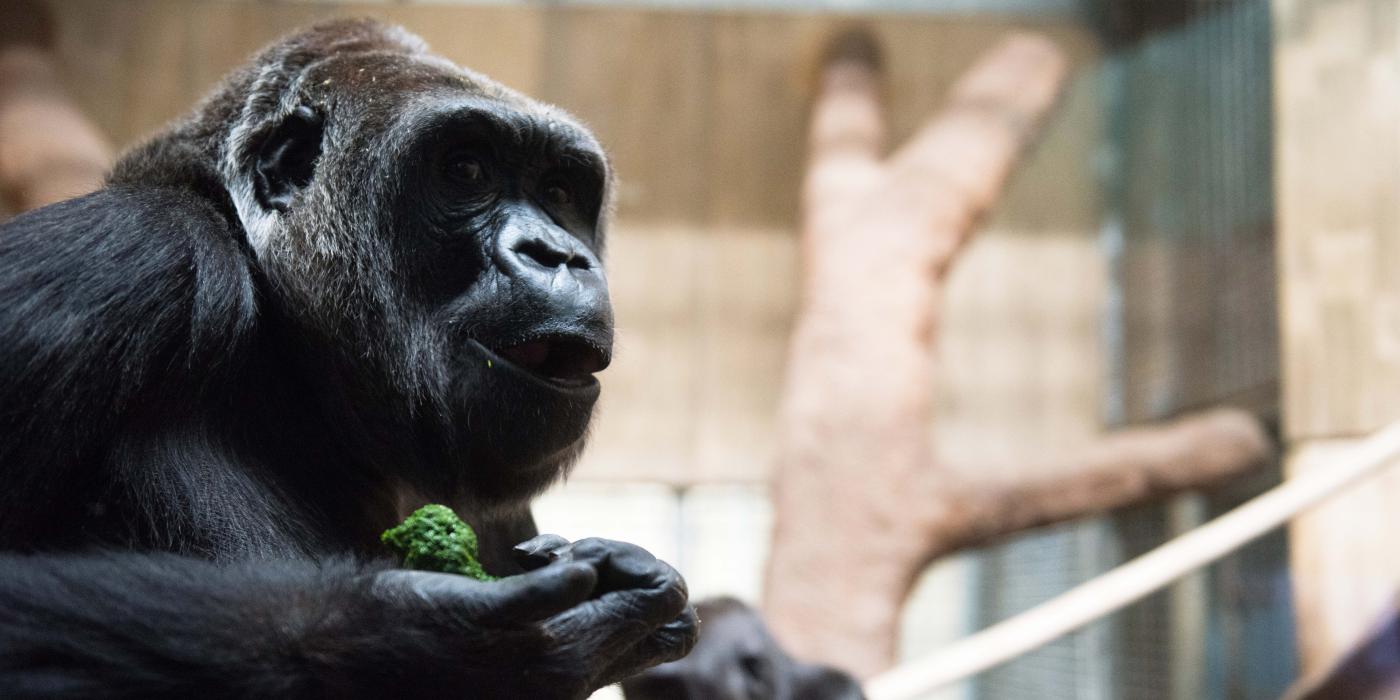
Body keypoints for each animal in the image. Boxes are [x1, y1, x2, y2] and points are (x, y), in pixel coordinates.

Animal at [0, 19, 697, 697]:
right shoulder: (136, 248)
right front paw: (434, 641)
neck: (293, 371)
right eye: (466, 170)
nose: (558, 254)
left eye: (559, 191)